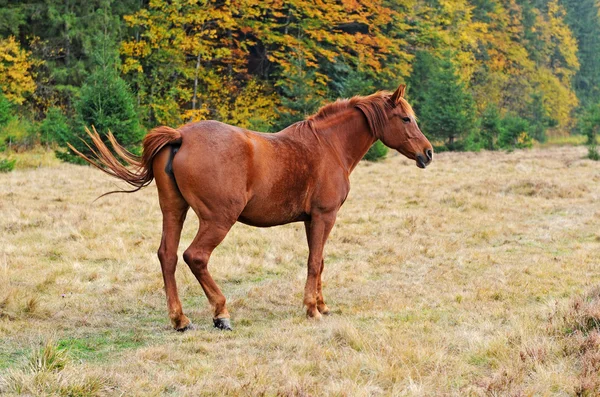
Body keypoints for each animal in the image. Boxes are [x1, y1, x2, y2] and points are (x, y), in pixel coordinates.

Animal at [72, 84, 434, 332]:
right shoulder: (324, 216)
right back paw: (221, 313)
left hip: (174, 211)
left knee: (168, 257)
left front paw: (322, 304)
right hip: (218, 220)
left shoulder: (311, 220)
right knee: (195, 257)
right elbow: (314, 262)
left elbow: (319, 262)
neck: (328, 146)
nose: (428, 153)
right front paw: (312, 309)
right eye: (406, 118)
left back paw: (180, 319)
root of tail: (180, 136)